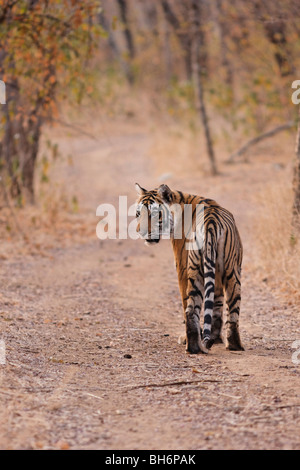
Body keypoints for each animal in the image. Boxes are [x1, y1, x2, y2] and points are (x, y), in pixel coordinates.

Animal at [136, 182, 244, 354]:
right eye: (138, 213)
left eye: (154, 214)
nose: (140, 231)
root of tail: (211, 222)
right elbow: (216, 304)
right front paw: (215, 338)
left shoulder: (181, 266)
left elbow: (185, 300)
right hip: (231, 270)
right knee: (231, 309)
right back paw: (227, 345)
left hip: (199, 270)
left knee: (191, 308)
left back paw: (195, 345)